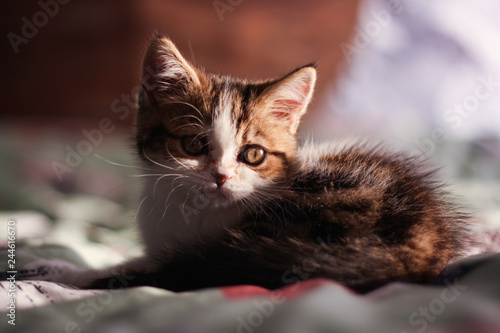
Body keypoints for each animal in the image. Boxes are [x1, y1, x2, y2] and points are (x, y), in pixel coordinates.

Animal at [52, 35, 466, 292]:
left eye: (253, 154)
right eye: (194, 144)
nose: (220, 176)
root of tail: (422, 245)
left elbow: (158, 269)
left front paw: (77, 273)